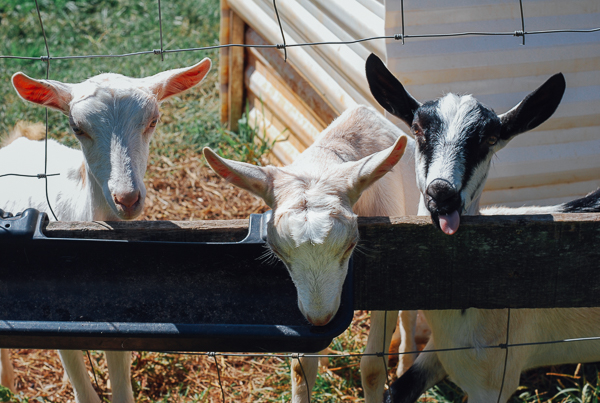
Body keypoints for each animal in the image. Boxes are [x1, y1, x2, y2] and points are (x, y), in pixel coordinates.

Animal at [366, 54, 600, 403]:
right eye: (417, 129)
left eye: (489, 140)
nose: (441, 193)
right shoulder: (444, 351)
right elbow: (398, 390)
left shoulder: (494, 379)